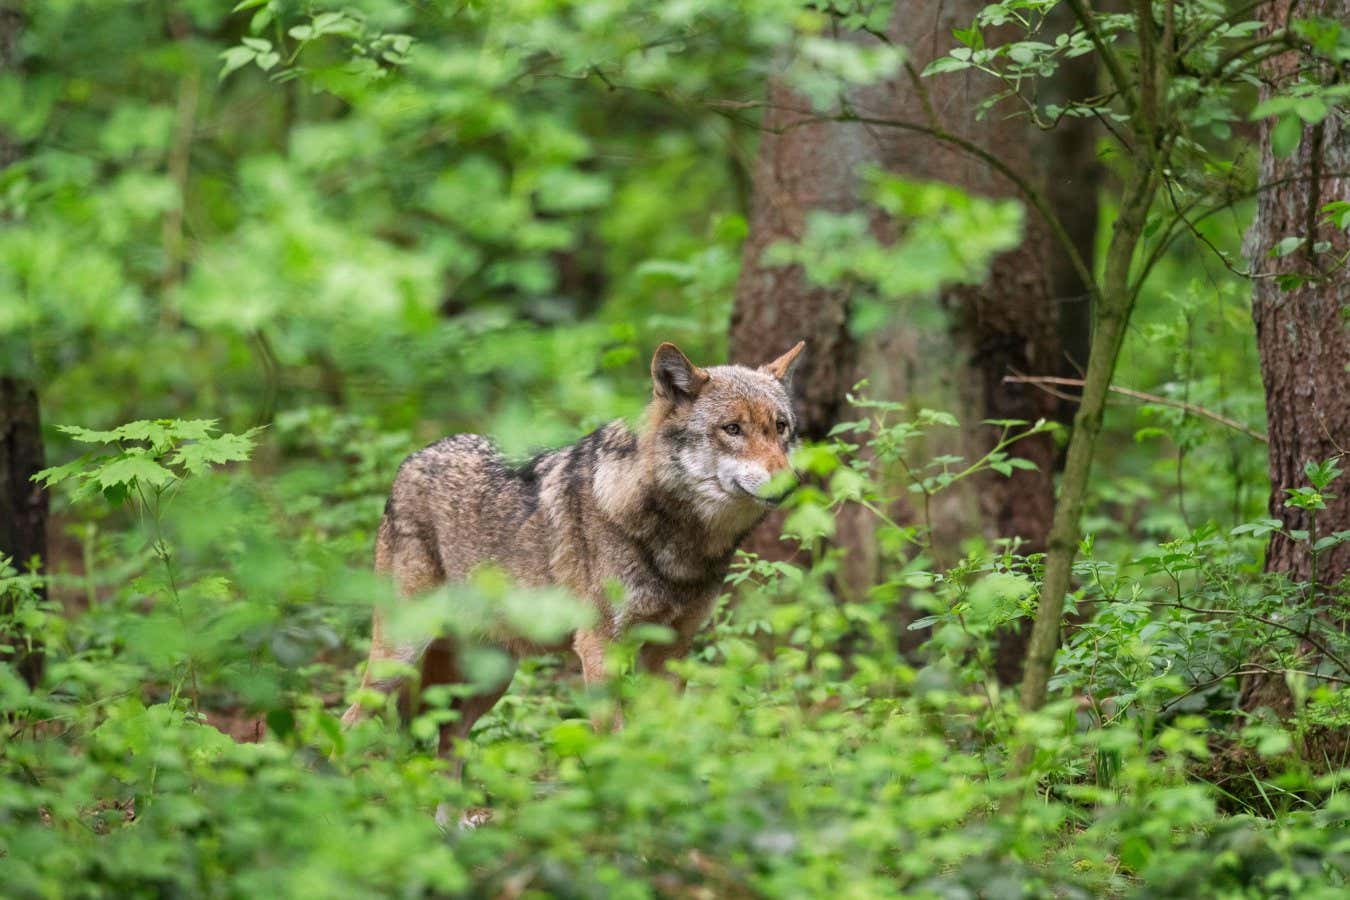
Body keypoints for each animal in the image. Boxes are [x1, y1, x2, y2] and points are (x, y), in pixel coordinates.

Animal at [340, 340, 804, 778]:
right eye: (732, 429)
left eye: (781, 427)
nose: (789, 482)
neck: (678, 543)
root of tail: (412, 458)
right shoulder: (600, 650)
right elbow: (615, 745)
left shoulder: (672, 649)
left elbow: (663, 738)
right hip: (400, 656)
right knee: (349, 720)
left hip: (490, 678)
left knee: (447, 749)